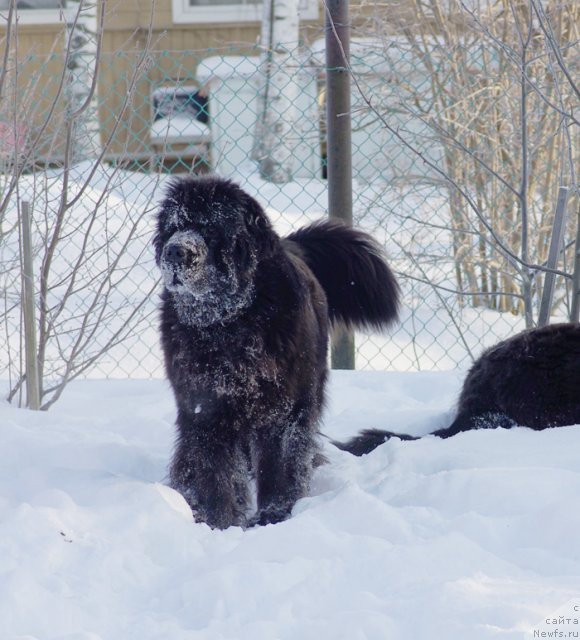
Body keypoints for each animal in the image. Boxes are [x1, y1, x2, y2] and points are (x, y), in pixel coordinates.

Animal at [154, 176, 398, 528]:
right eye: (174, 227)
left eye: (211, 227)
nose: (175, 250)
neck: (230, 323)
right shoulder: (205, 404)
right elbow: (215, 468)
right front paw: (220, 520)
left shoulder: (284, 406)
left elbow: (279, 464)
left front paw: (273, 515)